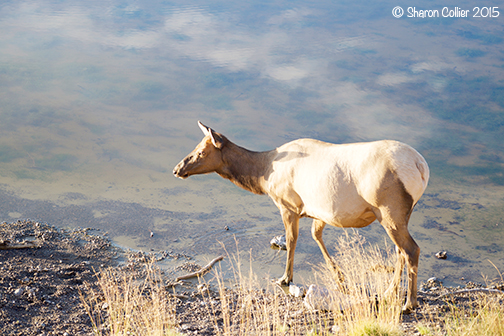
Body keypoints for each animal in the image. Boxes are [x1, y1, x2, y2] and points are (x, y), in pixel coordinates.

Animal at [173, 121, 430, 312]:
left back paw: (409, 303)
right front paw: (339, 276)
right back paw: (389, 292)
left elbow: (292, 240)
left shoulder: (288, 204)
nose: (177, 169)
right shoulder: (320, 210)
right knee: (400, 250)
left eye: (201, 152)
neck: (264, 176)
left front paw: (285, 278)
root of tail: (421, 167)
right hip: (399, 214)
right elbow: (315, 235)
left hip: (389, 209)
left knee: (411, 249)